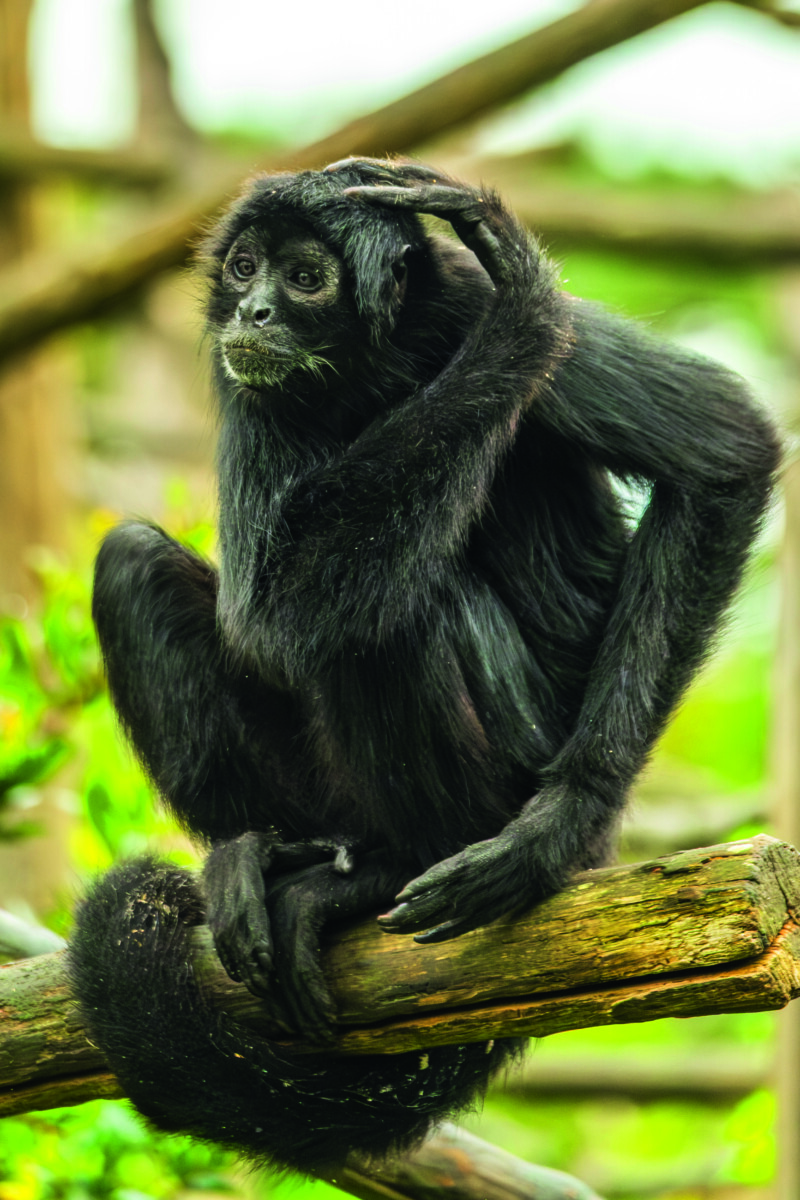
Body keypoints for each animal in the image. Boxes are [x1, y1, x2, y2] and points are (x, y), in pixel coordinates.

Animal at [69, 158, 779, 1173]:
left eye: (306, 279)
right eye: (245, 268)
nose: (252, 312)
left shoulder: (461, 302)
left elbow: (726, 453)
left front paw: (557, 826)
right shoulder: (248, 381)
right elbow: (268, 603)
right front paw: (523, 312)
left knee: (398, 607)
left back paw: (391, 868)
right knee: (136, 561)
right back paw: (272, 853)